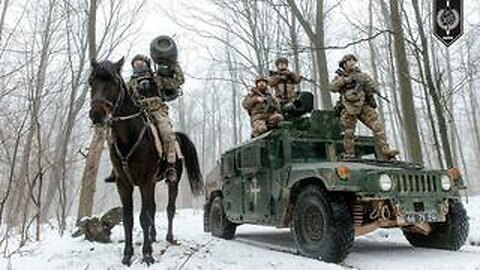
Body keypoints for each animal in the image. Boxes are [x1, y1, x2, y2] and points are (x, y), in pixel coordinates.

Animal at [88, 58, 202, 264]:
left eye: (114, 82)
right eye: (91, 82)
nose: (97, 114)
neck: (129, 137)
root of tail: (177, 135)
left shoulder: (145, 181)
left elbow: (143, 216)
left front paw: (147, 254)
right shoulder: (124, 183)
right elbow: (129, 218)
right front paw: (127, 254)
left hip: (172, 181)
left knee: (169, 208)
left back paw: (169, 237)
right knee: (153, 209)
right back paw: (154, 235)